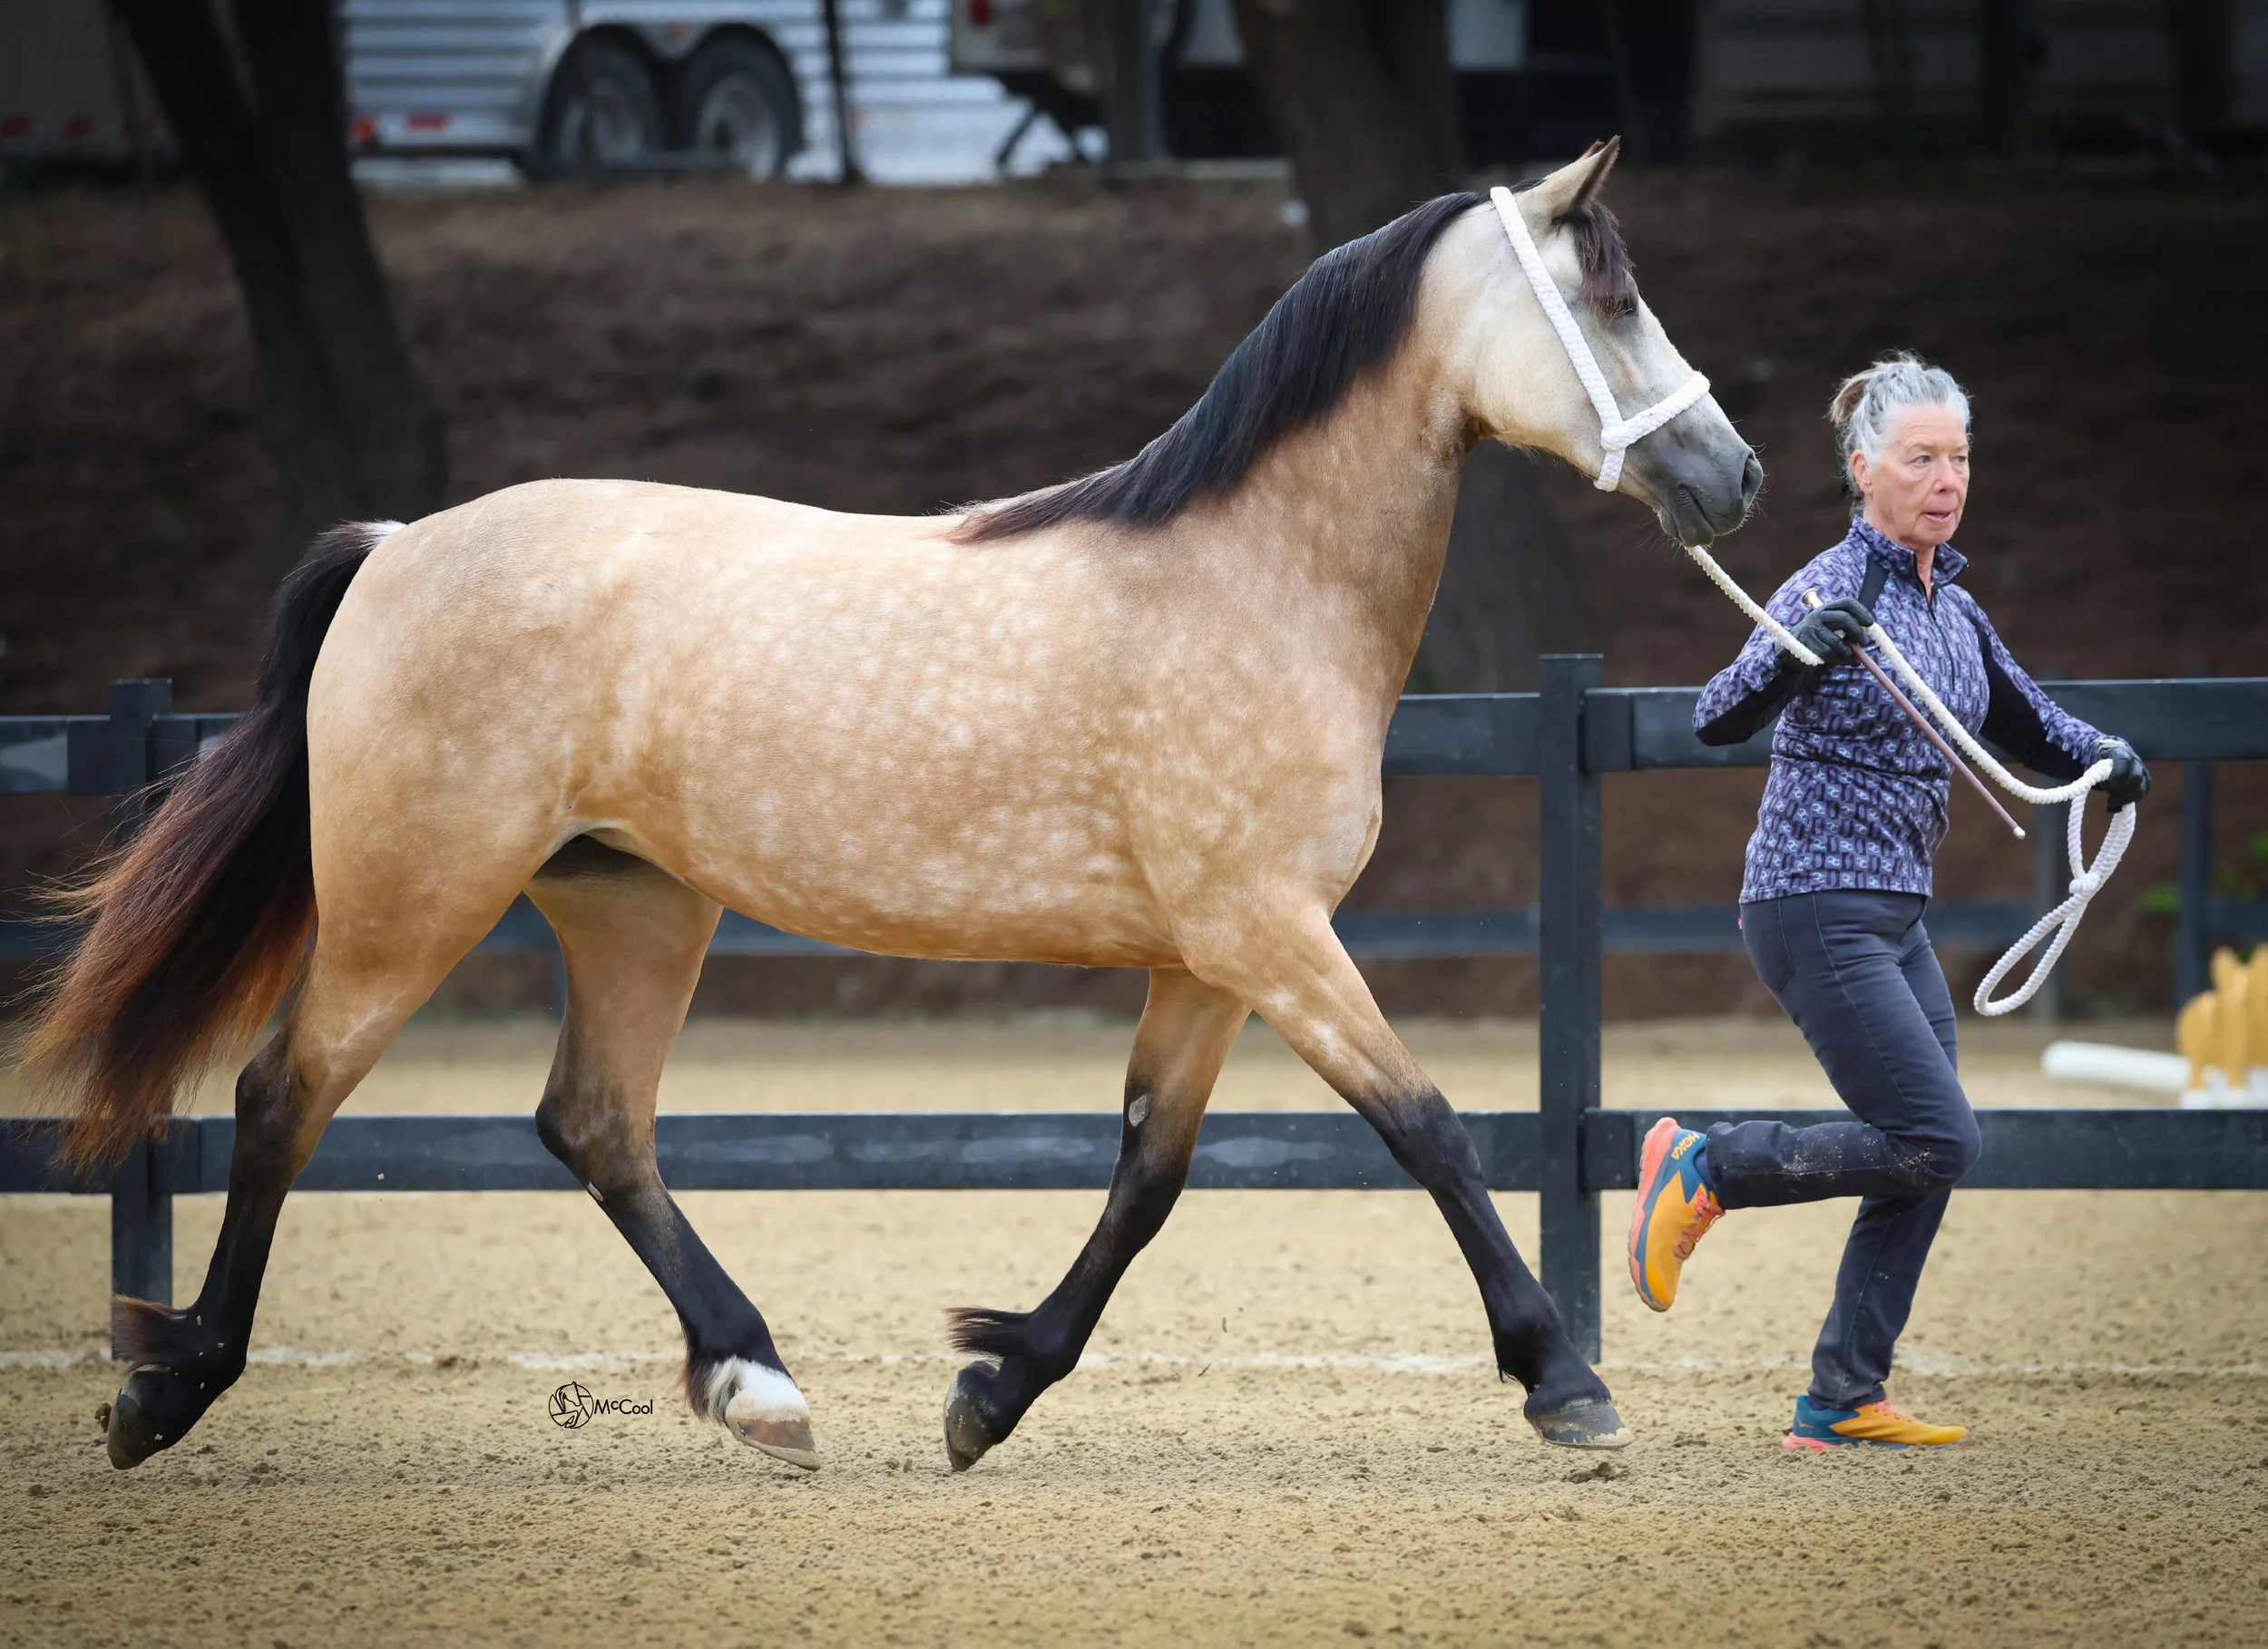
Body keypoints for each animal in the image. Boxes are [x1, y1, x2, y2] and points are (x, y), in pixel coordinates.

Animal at [23, 138, 1758, 1476]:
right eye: (1610, 293)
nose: (1732, 475)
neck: (1248, 582)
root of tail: (393, 545)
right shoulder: (1270, 935)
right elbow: (1431, 1126)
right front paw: (1565, 1380)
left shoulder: (1210, 958)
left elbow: (1150, 1174)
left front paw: (993, 1386)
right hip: (414, 899)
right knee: (283, 1094)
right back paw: (168, 1388)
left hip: (634, 903)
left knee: (593, 1122)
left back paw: (759, 1385)